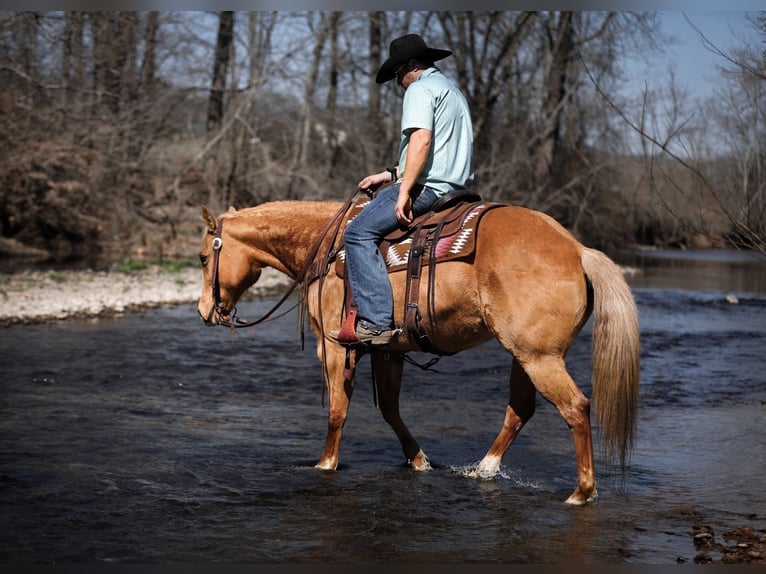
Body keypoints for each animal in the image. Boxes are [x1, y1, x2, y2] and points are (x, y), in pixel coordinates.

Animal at [196, 198, 639, 505]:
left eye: (203, 257)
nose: (204, 311)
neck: (327, 248)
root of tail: (578, 250)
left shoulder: (335, 347)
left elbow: (338, 411)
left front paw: (325, 465)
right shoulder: (387, 351)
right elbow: (391, 410)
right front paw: (420, 461)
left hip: (539, 357)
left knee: (575, 407)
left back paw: (581, 492)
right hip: (523, 355)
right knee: (520, 410)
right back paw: (483, 470)